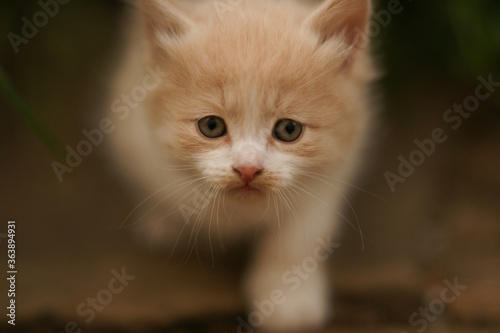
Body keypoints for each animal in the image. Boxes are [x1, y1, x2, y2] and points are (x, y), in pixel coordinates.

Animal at [109, 0, 376, 330]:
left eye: (289, 130)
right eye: (211, 126)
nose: (248, 169)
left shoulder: (331, 177)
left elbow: (293, 243)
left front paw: (288, 301)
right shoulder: (134, 140)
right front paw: (163, 220)